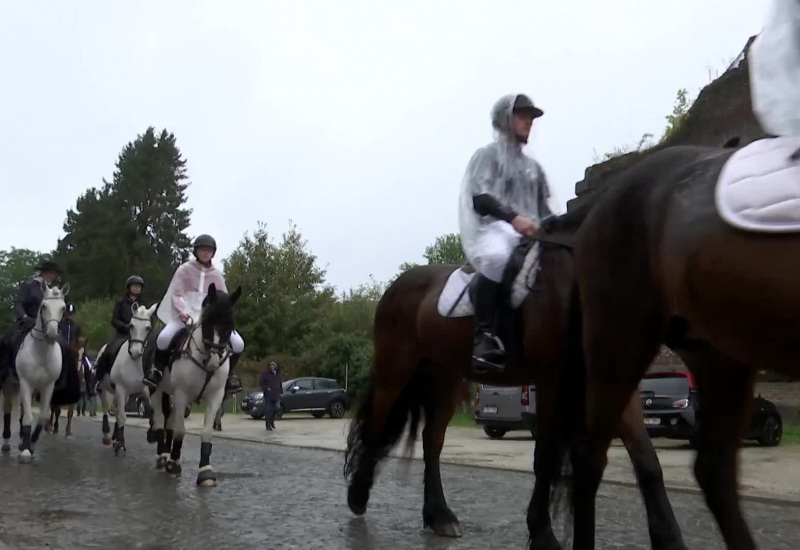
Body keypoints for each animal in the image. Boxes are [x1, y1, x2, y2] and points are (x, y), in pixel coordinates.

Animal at [1, 286, 69, 464]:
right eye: (43, 306)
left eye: (63, 308)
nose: (52, 334)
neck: (41, 352)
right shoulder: (26, 383)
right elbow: (28, 418)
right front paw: (25, 451)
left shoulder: (47, 386)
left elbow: (43, 416)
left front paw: (30, 443)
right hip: (8, 383)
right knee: (7, 409)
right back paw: (6, 442)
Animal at [97, 304, 158, 454]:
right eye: (131, 325)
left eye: (148, 328)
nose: (135, 352)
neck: (134, 363)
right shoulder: (120, 388)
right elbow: (123, 416)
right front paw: (121, 443)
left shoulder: (145, 389)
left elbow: (152, 410)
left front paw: (151, 435)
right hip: (104, 389)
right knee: (106, 407)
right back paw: (107, 436)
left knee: (117, 411)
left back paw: (115, 436)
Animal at [148, 284, 239, 488]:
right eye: (206, 320)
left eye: (230, 323)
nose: (213, 362)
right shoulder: (182, 395)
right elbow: (181, 430)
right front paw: (174, 466)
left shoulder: (215, 397)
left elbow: (207, 432)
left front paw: (205, 472)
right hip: (156, 391)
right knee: (159, 419)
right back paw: (163, 457)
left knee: (169, 422)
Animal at [344, 226, 688, 548]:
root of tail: (398, 285)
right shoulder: (551, 380)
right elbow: (544, 456)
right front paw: (542, 534)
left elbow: (647, 461)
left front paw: (672, 539)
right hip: (395, 368)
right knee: (377, 423)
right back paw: (359, 496)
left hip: (446, 377)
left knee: (433, 441)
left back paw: (439, 515)